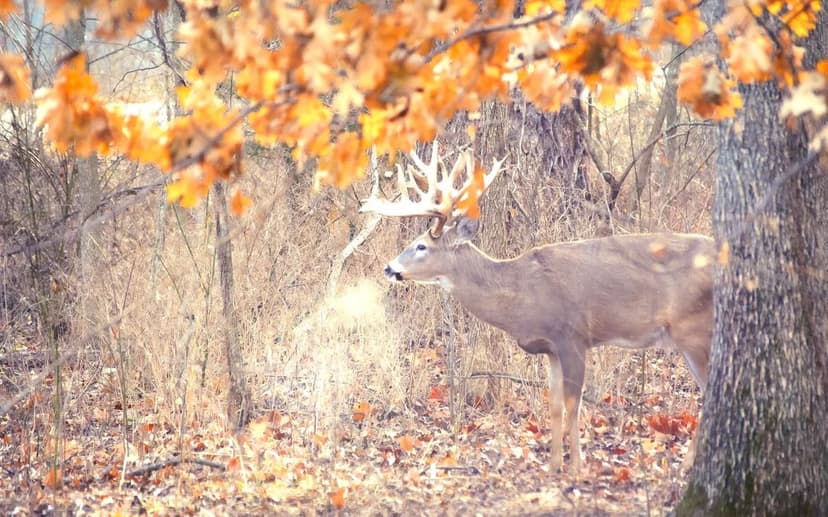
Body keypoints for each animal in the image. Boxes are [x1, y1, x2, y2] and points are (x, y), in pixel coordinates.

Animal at [360, 143, 714, 474]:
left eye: (421, 246)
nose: (389, 268)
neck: (523, 294)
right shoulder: (551, 348)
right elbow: (555, 404)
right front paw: (554, 465)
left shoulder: (573, 336)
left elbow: (573, 403)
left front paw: (576, 468)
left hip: (695, 329)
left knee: (710, 389)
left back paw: (687, 464)